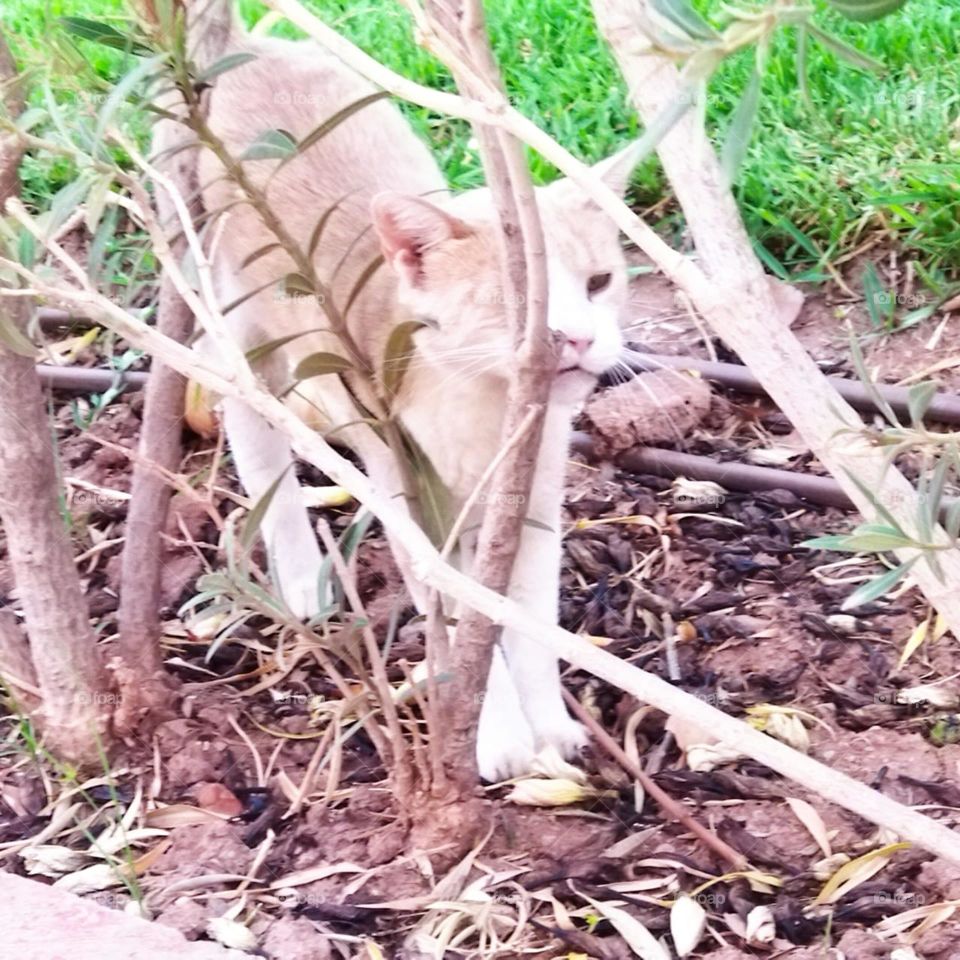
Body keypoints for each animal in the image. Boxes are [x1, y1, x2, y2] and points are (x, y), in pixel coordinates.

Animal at [156, 1, 636, 780]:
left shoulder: (532, 502)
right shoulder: (408, 489)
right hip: (237, 312)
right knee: (251, 426)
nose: (577, 338)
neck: (483, 410)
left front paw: (550, 727)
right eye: (517, 299)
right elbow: (461, 631)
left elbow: (528, 621)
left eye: (600, 282)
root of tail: (246, 46)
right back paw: (300, 577)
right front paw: (498, 738)